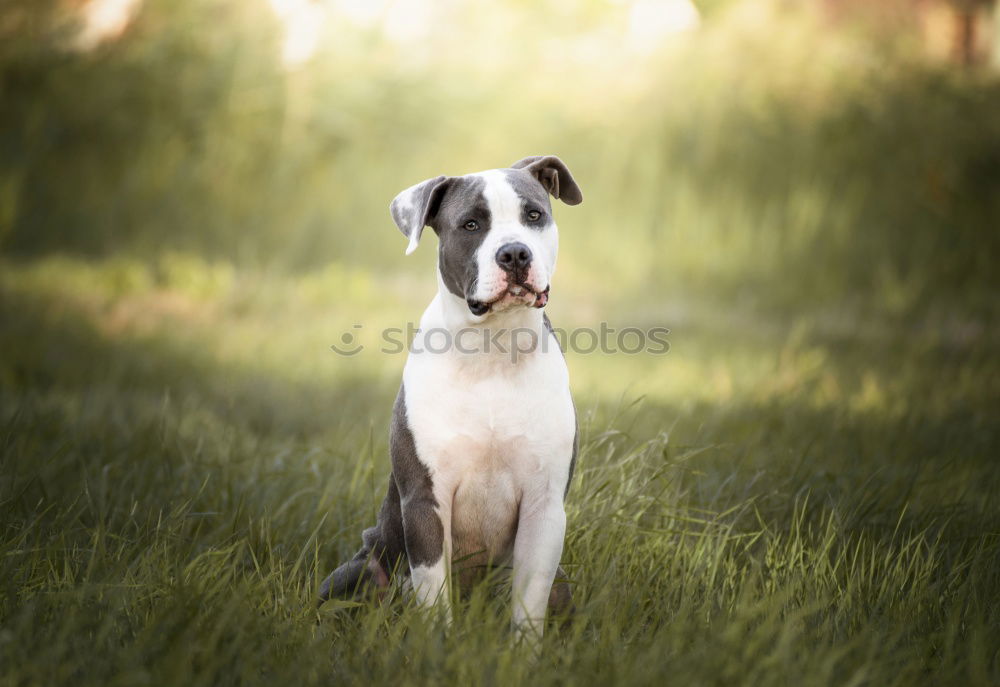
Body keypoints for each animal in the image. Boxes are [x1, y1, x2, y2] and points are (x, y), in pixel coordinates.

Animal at [320, 157, 584, 644]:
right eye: (471, 225)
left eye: (534, 214)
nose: (514, 254)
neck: (493, 349)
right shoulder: (425, 502)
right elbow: (432, 596)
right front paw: (436, 647)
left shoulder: (545, 507)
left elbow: (530, 602)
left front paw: (524, 654)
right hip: (363, 566)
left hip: (562, 584)